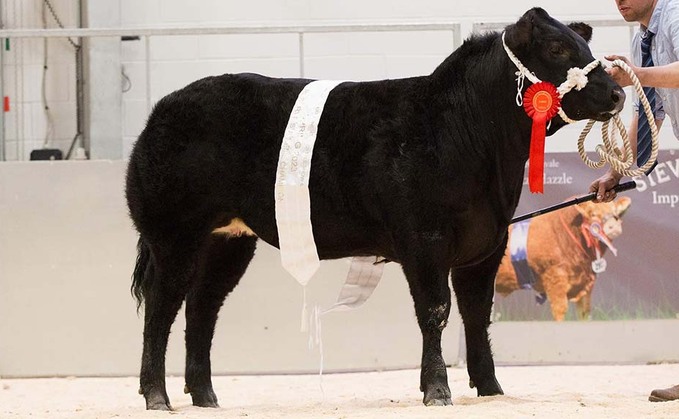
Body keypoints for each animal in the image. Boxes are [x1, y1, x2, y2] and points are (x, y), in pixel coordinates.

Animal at [494, 197, 632, 322]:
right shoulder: (555, 279)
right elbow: (560, 311)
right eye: (593, 214)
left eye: (615, 214)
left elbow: (584, 313)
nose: (612, 226)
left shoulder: (585, 287)